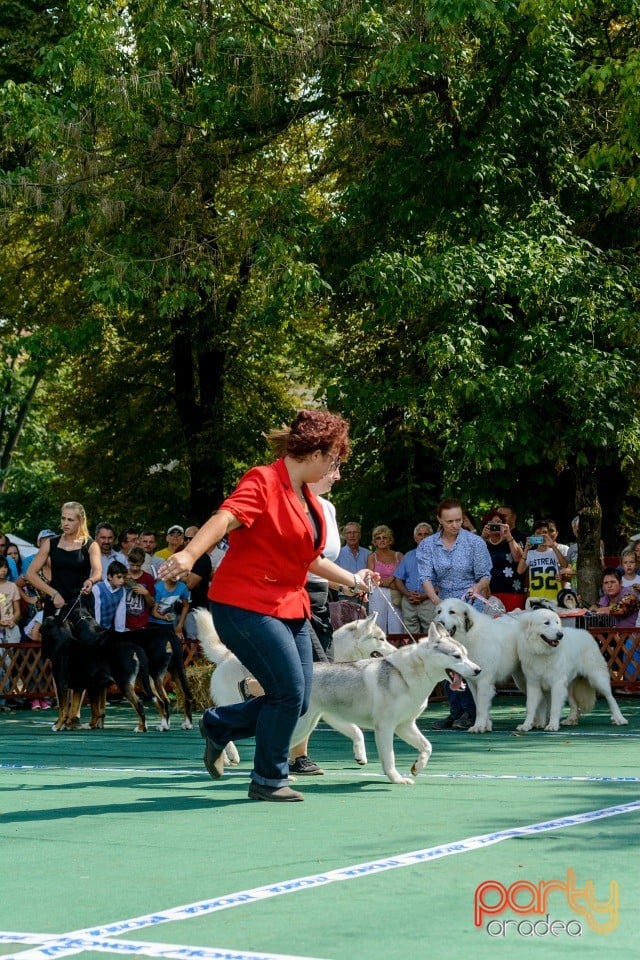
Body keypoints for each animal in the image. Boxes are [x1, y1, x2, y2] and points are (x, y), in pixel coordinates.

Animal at [194, 616, 396, 764]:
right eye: (381, 639)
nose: (396, 651)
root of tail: (225, 656)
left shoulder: (329, 713)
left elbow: (356, 731)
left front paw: (360, 755)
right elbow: (357, 730)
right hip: (233, 701)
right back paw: (227, 754)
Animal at [432, 596, 524, 732]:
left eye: (452, 612)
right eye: (439, 612)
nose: (439, 622)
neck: (469, 635)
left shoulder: (484, 681)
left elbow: (480, 707)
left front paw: (478, 727)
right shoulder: (473, 682)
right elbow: (478, 704)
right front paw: (486, 725)